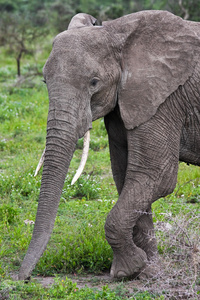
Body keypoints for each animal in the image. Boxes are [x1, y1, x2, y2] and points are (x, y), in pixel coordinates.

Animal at [18, 9, 200, 282]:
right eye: (44, 82)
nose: (22, 278)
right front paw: (148, 271)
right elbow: (126, 176)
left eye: (94, 82)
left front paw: (127, 270)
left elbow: (155, 175)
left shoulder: (164, 98)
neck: (115, 33)